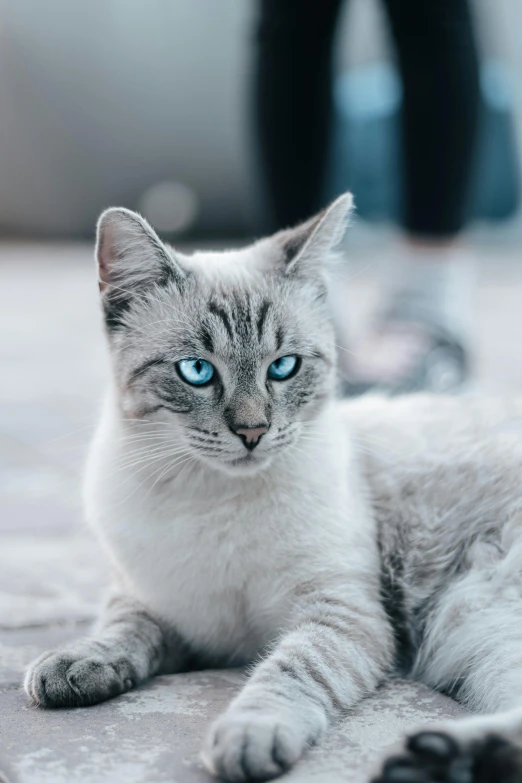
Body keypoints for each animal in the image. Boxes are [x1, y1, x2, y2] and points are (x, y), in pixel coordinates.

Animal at [25, 191, 522, 783]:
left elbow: (288, 671)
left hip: (477, 617)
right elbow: (124, 630)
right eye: (196, 371)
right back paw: (439, 760)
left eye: (283, 368)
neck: (215, 499)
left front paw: (249, 735)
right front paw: (77, 663)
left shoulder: (341, 614)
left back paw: (433, 760)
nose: (252, 432)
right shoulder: (161, 608)